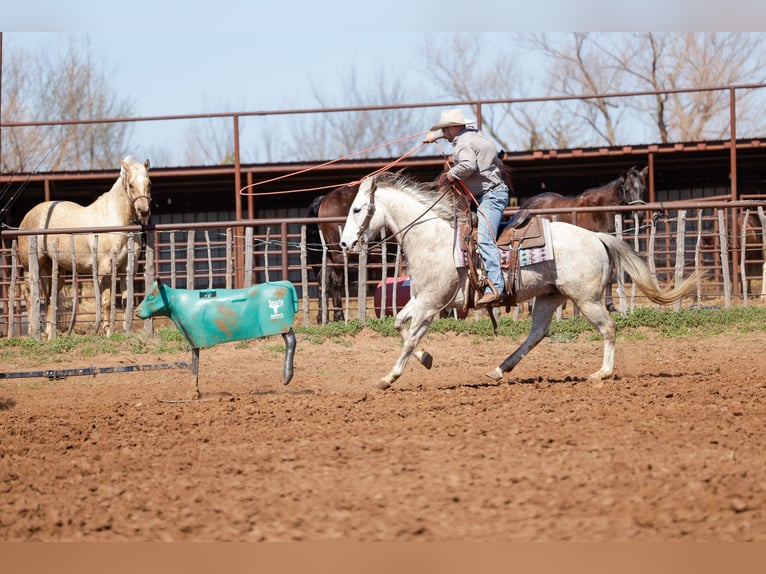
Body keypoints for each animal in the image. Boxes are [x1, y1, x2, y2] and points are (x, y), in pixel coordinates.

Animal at [17, 156, 153, 339]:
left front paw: (127, 332)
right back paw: (33, 332)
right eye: (130, 184)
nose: (144, 211)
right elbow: (107, 302)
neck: (114, 220)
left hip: (55, 270)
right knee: (29, 296)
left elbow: (127, 300)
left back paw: (49, 334)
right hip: (29, 267)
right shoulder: (104, 268)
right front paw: (108, 332)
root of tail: (28, 215)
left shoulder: (126, 269)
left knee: (50, 297)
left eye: (149, 183)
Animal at [519, 166, 649, 311]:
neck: (600, 210)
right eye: (627, 189)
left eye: (643, 188)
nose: (640, 214)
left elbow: (610, 275)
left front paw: (610, 305)